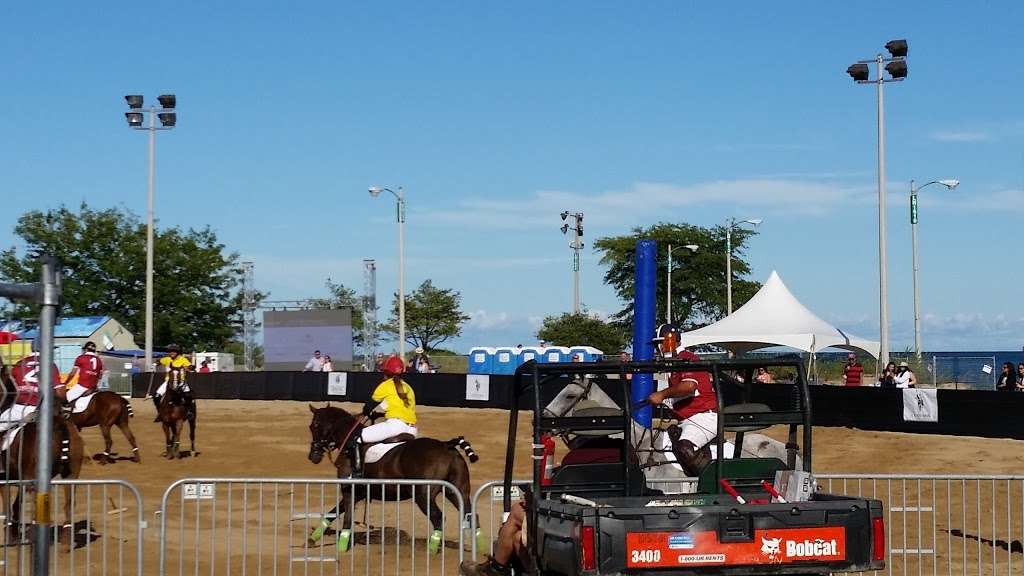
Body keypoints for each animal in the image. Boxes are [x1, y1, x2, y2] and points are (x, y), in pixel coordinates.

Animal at [305, 403, 481, 553]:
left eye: (313, 426)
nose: (313, 456)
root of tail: (447, 445)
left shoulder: (349, 490)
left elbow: (346, 517)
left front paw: (342, 546)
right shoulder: (360, 492)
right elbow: (332, 513)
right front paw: (312, 539)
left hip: (423, 494)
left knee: (437, 517)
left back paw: (432, 549)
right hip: (458, 491)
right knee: (471, 515)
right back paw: (480, 548)